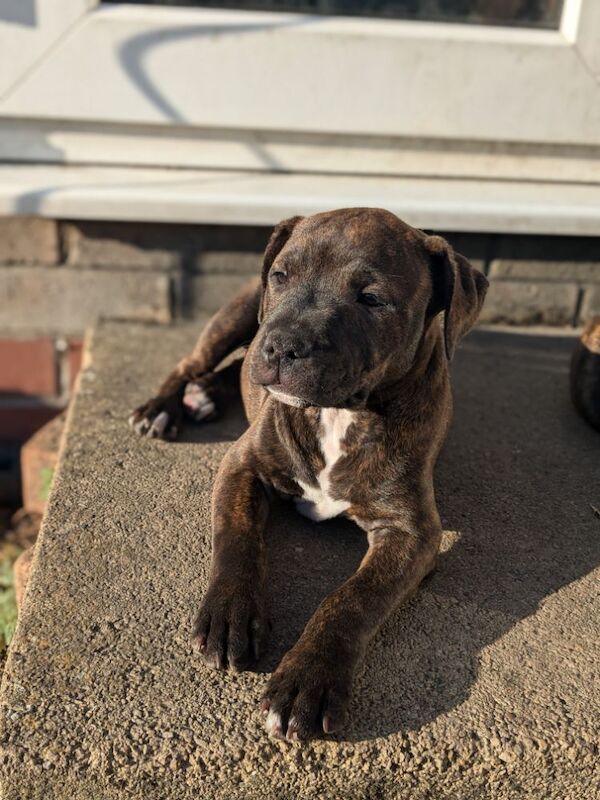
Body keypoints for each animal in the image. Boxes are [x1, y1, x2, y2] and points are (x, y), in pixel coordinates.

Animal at [130, 208, 488, 744]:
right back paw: (165, 405)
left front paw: (307, 680)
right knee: (198, 361)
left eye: (372, 298)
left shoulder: (412, 531)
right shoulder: (242, 466)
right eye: (281, 276)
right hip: (238, 315)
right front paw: (230, 615)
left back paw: (206, 394)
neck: (340, 414)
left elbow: (352, 599)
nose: (281, 346)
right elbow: (236, 539)